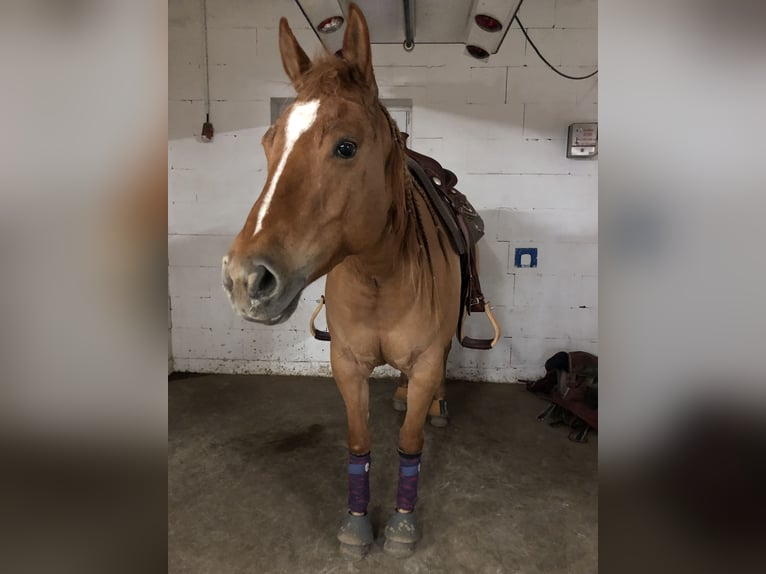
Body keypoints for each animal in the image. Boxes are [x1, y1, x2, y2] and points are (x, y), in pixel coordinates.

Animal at [221, 3, 492, 559]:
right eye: (268, 143)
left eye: (346, 147)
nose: (244, 278)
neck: (382, 275)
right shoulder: (346, 365)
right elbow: (359, 442)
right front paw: (357, 524)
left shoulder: (427, 359)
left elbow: (409, 443)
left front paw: (402, 527)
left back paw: (433, 406)